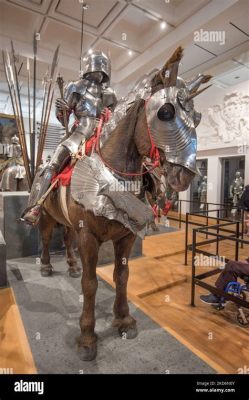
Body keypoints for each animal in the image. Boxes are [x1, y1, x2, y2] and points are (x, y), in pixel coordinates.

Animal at [34, 48, 210, 360]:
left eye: (198, 117)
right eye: (165, 112)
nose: (185, 174)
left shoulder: (125, 236)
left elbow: (122, 275)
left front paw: (124, 319)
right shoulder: (89, 236)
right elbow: (90, 283)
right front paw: (87, 336)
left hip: (68, 223)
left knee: (66, 239)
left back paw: (71, 265)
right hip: (46, 215)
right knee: (45, 238)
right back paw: (45, 265)